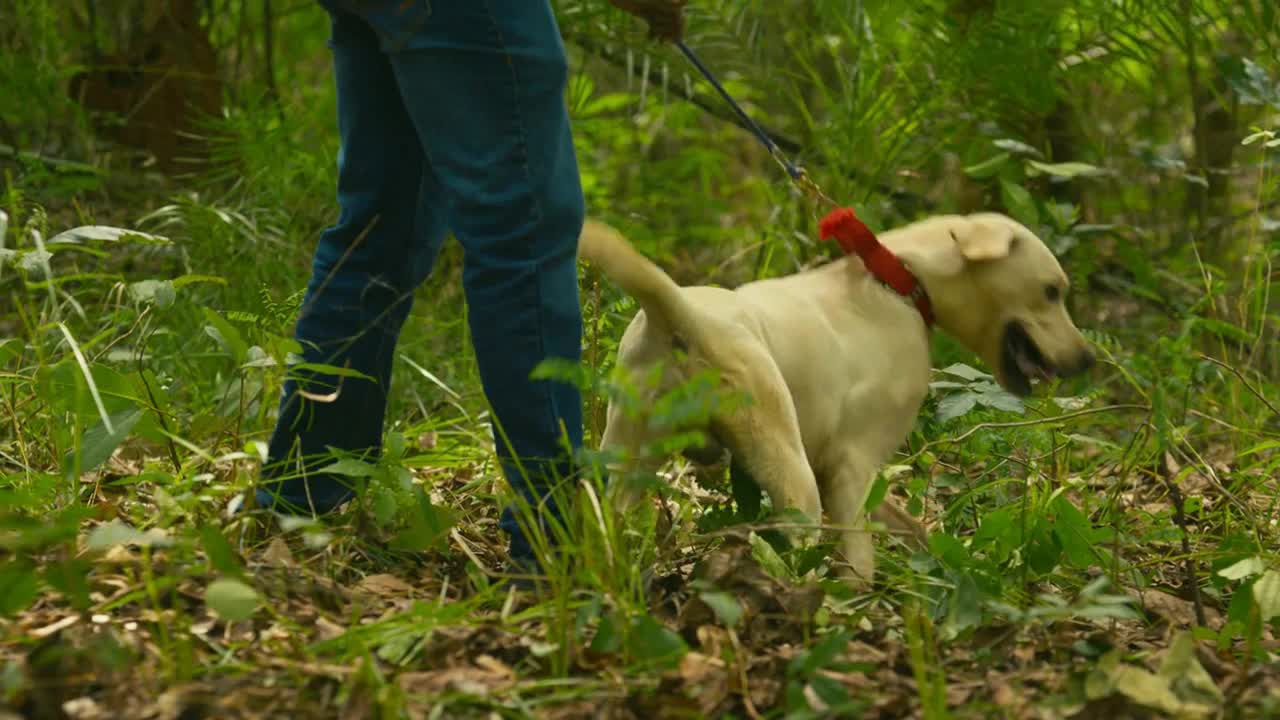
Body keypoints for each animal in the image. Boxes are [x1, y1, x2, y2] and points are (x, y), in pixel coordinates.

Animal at [578, 212, 1090, 584]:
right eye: (1051, 291)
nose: (1087, 359)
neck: (901, 281)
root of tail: (683, 317)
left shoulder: (849, 474)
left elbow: (910, 527)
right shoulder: (852, 465)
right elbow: (859, 557)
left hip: (626, 460)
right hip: (790, 473)